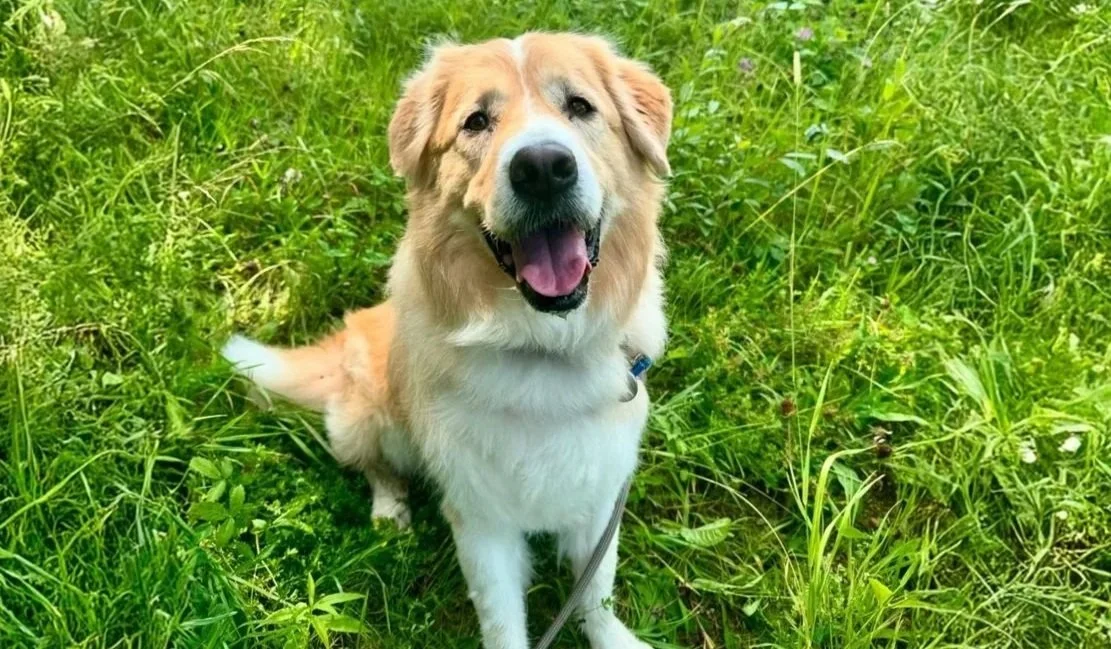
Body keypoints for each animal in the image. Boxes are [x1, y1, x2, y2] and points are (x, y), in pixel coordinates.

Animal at [222, 32, 671, 649]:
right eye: (476, 121)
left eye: (580, 106)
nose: (542, 168)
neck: (544, 346)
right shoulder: (482, 518)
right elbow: (503, 619)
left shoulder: (600, 495)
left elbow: (595, 594)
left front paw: (611, 637)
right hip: (368, 414)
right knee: (375, 466)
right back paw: (390, 510)